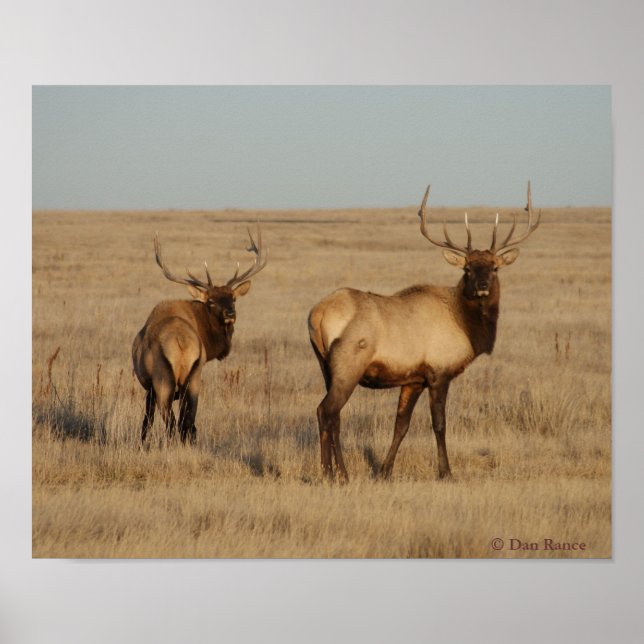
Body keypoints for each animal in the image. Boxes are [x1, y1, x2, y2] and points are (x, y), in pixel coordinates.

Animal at [132, 224, 268, 445]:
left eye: (233, 298)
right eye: (211, 301)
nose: (230, 314)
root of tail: (180, 343)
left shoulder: (150, 387)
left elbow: (147, 421)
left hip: (163, 380)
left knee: (172, 422)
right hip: (194, 377)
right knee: (187, 421)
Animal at [308, 183, 540, 482]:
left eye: (494, 267)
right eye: (467, 268)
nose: (482, 285)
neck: (465, 325)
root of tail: (317, 314)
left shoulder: (413, 379)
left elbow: (401, 425)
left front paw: (384, 471)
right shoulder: (439, 372)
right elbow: (439, 424)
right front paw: (446, 472)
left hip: (325, 366)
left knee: (335, 416)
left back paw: (341, 473)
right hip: (349, 365)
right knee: (326, 411)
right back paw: (331, 474)